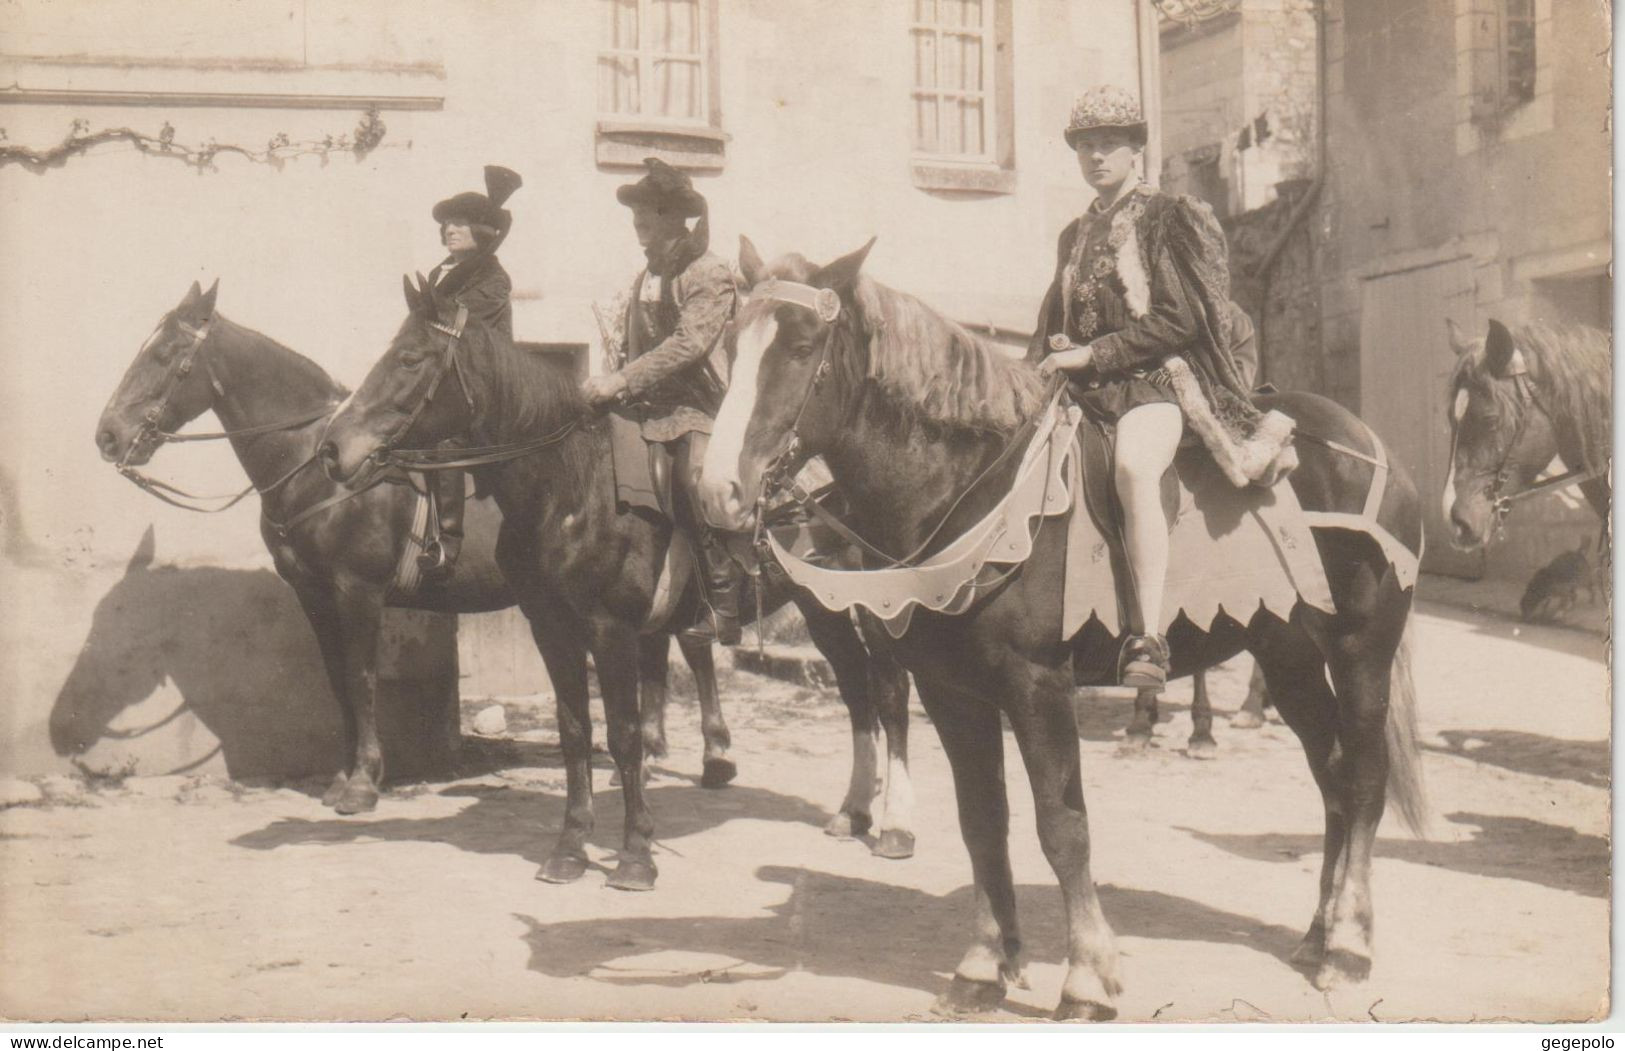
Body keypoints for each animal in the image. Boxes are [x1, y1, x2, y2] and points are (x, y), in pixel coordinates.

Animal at [316, 272, 923, 890]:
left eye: (409, 359)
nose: (333, 448)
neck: (569, 485)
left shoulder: (612, 631)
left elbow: (626, 735)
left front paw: (635, 855)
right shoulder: (552, 629)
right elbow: (575, 732)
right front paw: (571, 846)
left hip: (876, 605)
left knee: (891, 693)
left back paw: (894, 829)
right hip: (823, 608)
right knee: (856, 692)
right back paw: (852, 812)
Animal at [698, 240, 1423, 1020]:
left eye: (802, 347)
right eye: (729, 345)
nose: (719, 492)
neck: (975, 487)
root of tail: (1367, 444)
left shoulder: (1037, 685)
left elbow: (1062, 826)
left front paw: (1086, 979)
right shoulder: (953, 691)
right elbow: (982, 820)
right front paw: (982, 966)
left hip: (1359, 651)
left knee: (1364, 780)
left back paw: (1349, 947)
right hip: (1286, 656)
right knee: (1332, 774)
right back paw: (1317, 936)